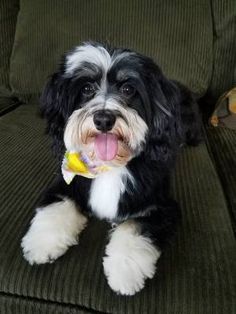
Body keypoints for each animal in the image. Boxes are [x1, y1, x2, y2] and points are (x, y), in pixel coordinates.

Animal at [21, 43, 200, 296]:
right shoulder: (67, 183)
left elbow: (134, 228)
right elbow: (56, 207)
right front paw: (41, 244)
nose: (104, 119)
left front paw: (124, 272)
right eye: (87, 89)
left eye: (128, 89)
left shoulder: (160, 207)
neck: (110, 165)